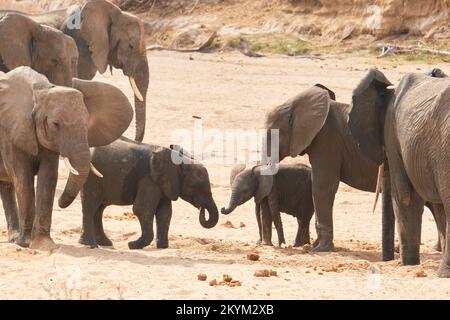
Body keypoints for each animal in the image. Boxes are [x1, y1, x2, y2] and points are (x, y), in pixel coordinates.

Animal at [0, 67, 134, 250]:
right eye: (55, 124)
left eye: (87, 122)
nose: (60, 202)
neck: (41, 91)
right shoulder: (13, 131)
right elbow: (23, 179)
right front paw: (26, 243)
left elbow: (48, 178)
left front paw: (44, 245)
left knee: (5, 186)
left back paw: (13, 239)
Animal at [79, 136, 220, 249]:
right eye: (198, 187)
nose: (202, 209)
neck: (180, 162)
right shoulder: (149, 180)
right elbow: (142, 210)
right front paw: (133, 245)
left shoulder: (164, 183)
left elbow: (165, 213)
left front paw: (162, 247)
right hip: (91, 178)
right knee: (91, 207)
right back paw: (91, 244)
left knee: (99, 209)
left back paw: (104, 243)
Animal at [348, 70, 450, 278]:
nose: (387, 259)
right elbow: (437, 206)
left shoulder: (393, 135)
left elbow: (405, 197)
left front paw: (408, 264)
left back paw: (442, 274)